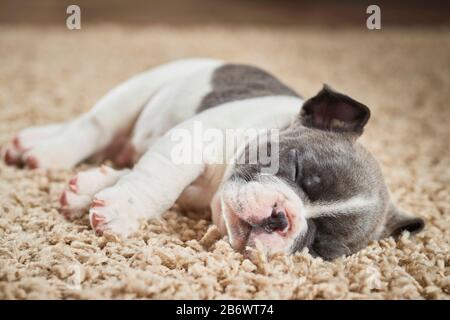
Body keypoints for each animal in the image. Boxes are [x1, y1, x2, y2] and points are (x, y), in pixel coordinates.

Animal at [0, 58, 426, 260]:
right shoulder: (187, 141)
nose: (281, 218)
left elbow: (138, 174)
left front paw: (92, 190)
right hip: (137, 91)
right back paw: (46, 149)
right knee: (90, 126)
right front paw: (122, 210)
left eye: (320, 246)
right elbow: (158, 183)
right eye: (295, 167)